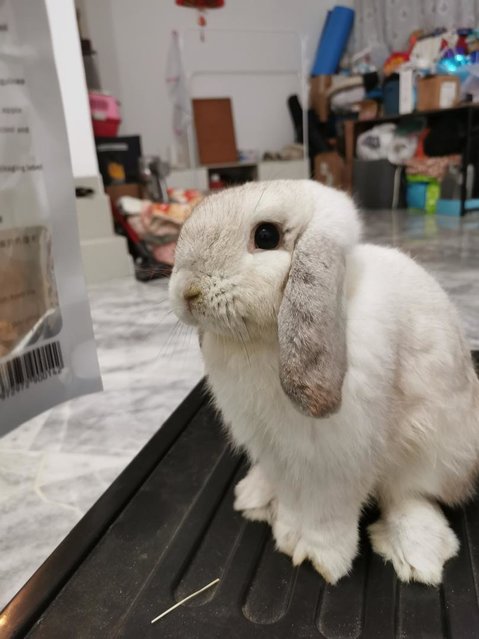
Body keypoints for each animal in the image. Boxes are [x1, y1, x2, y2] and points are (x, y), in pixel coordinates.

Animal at [170, 179, 479, 584]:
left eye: (266, 236)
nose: (186, 292)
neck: (262, 341)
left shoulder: (338, 460)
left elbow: (327, 515)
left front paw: (319, 557)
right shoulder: (276, 451)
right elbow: (291, 501)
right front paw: (286, 533)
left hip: (438, 453)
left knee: (410, 494)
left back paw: (417, 554)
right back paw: (253, 496)